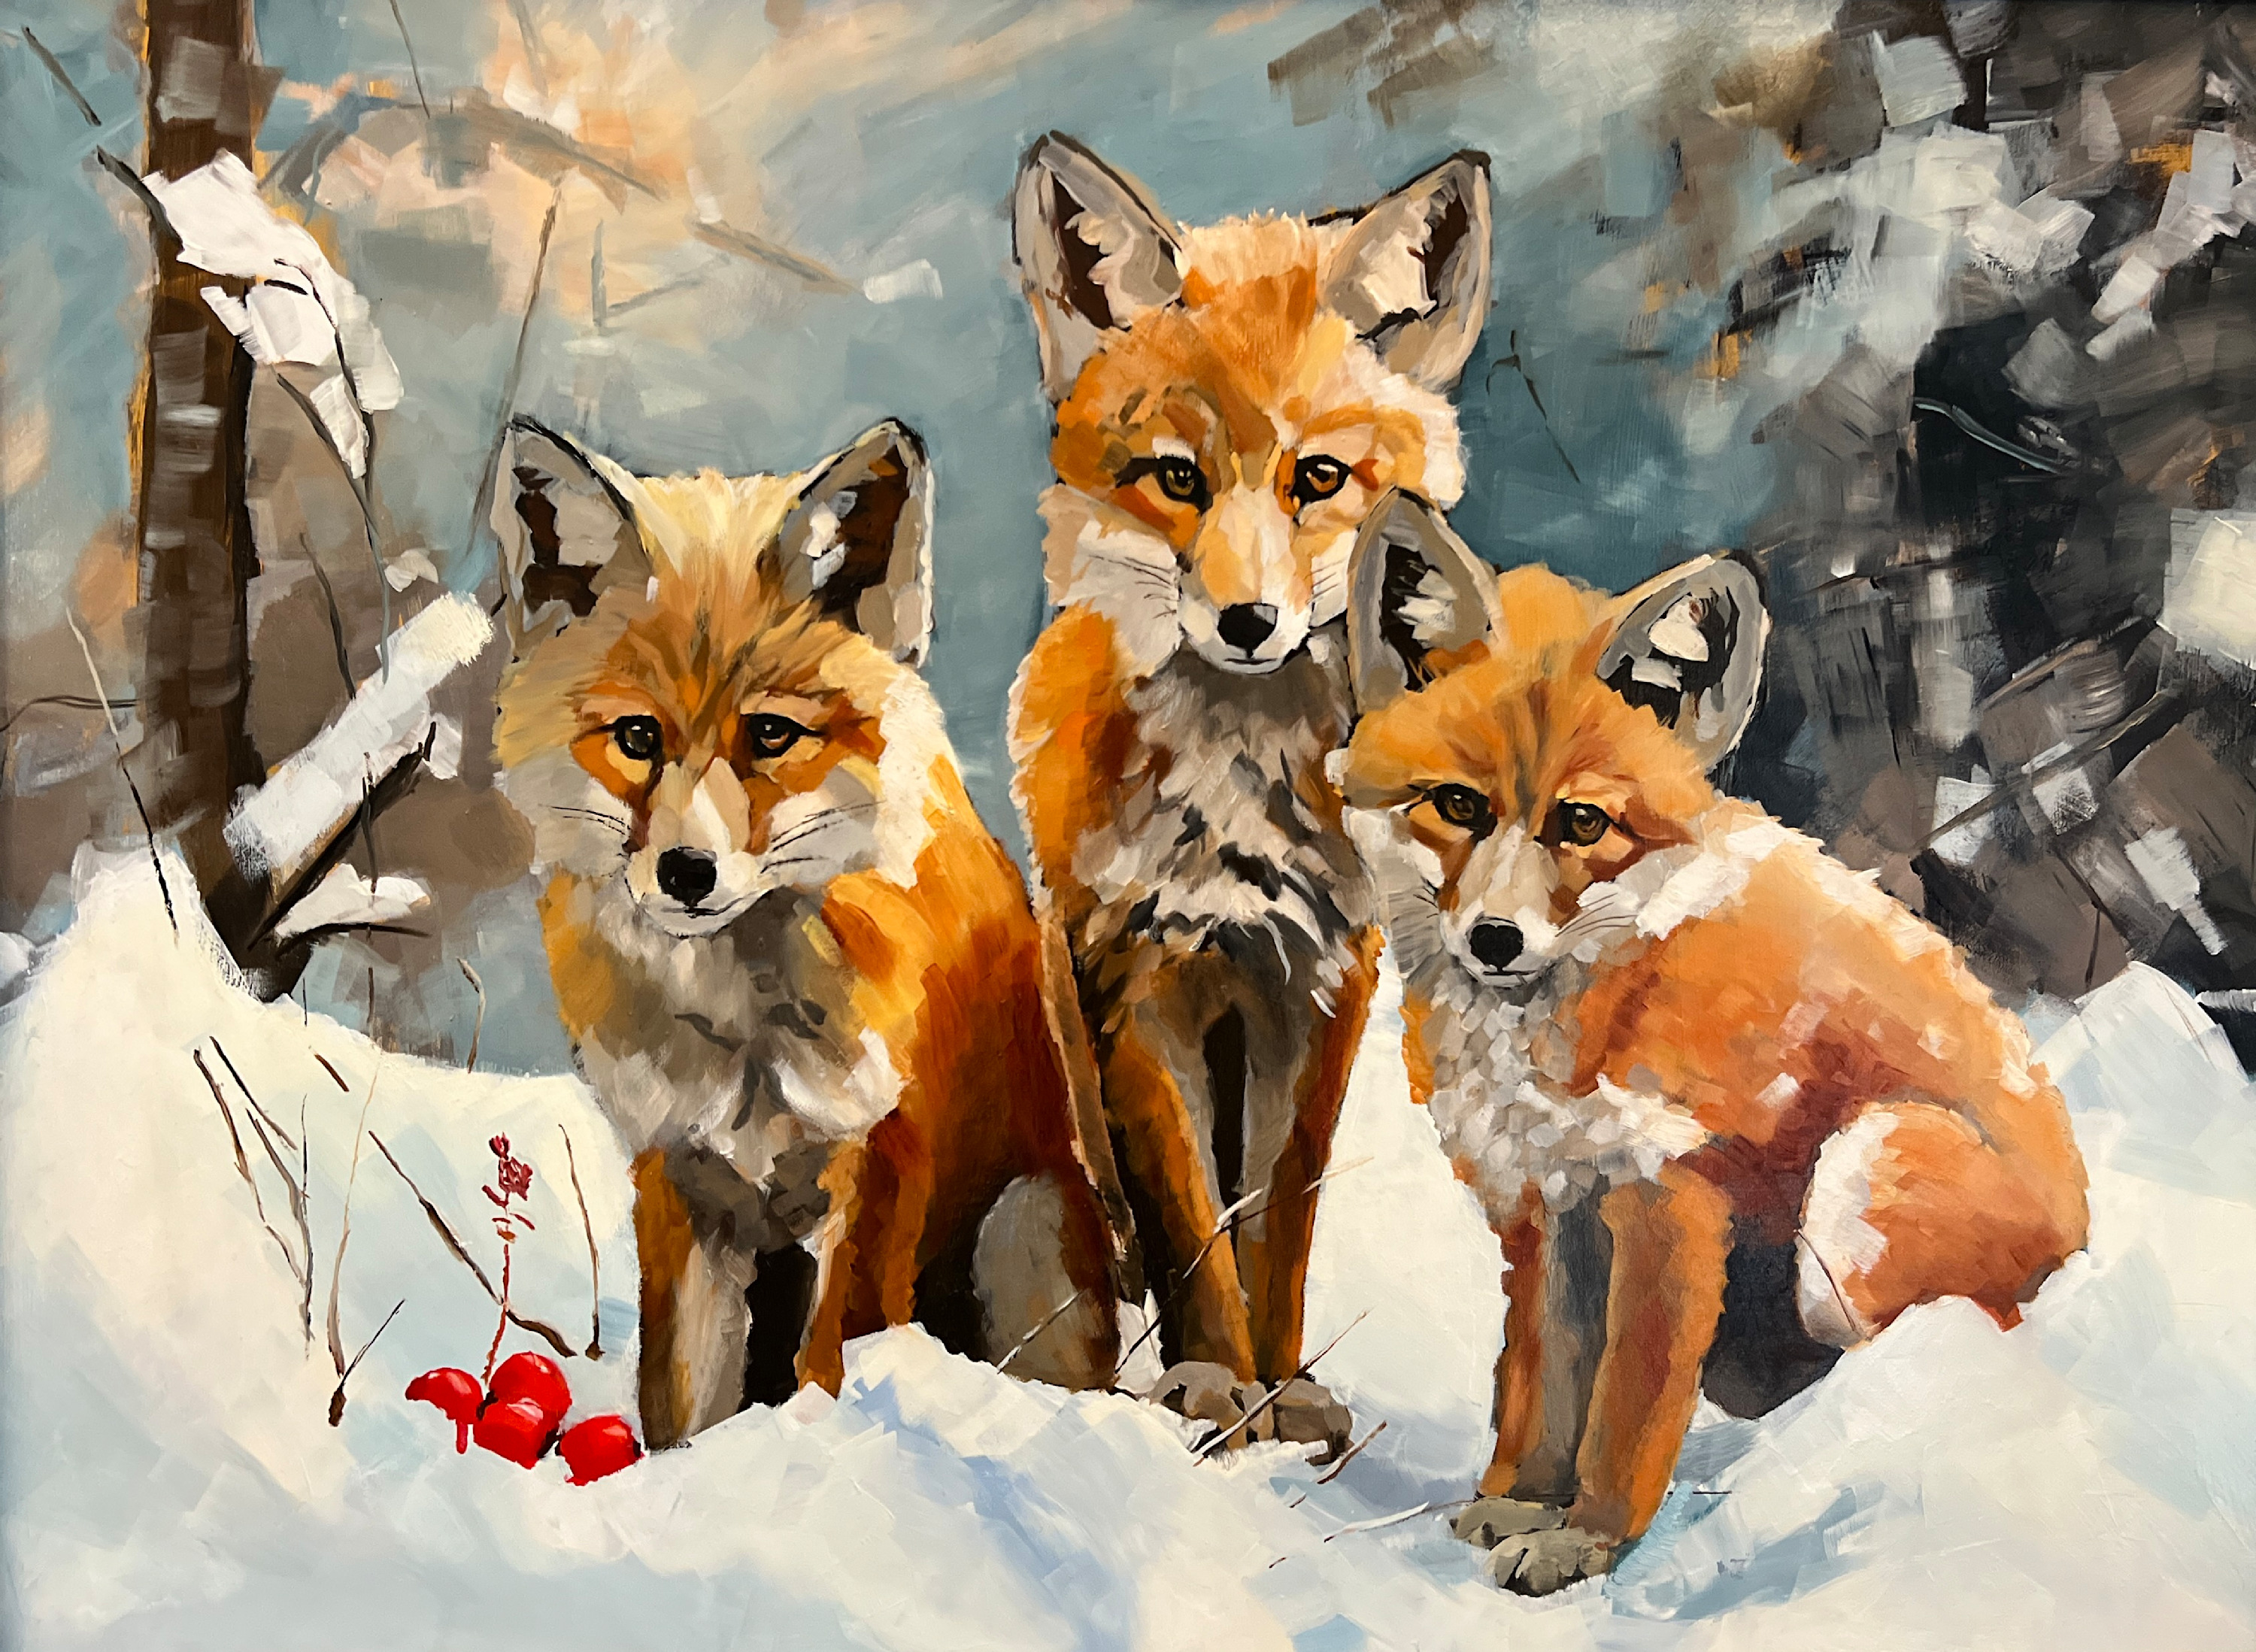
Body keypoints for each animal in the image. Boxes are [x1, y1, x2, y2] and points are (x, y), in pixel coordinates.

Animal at [492, 415, 1120, 1450]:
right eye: (638, 738)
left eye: (772, 737)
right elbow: (680, 1397)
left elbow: (834, 1358)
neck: (745, 1028)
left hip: (1022, 1229)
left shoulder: (876, 1162)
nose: (687, 873)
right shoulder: (680, 1174)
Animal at [1006, 134, 1492, 1449]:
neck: (1239, 818)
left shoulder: (1321, 982)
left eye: (1317, 476)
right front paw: (1215, 1385)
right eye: (1176, 477)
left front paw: (1280, 1389)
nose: (1247, 621)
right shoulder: (1139, 974)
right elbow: (1193, 1227)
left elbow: (1277, 1222)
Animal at [1334, 491, 2090, 1593]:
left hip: (1860, 1176)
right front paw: (1519, 1499)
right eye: (1459, 806)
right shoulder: (1550, 1203)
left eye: (1582, 823)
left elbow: (1628, 1400)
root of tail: (2087, 1237)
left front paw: (1587, 1539)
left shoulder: (1672, 1195)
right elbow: (1540, 1382)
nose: (1495, 940)